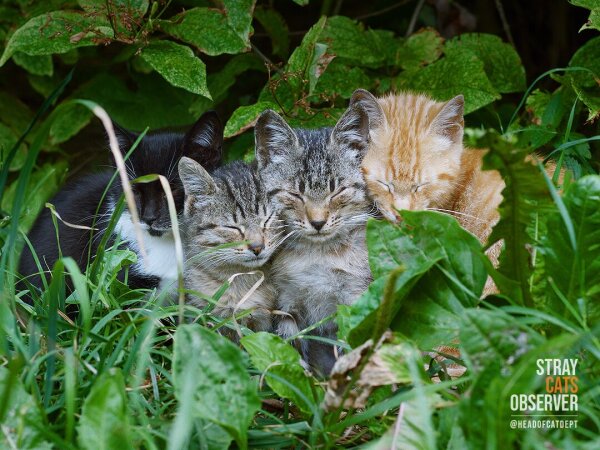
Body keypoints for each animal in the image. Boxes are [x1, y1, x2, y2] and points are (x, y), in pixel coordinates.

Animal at [253, 106, 376, 376]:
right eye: (294, 194)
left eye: (338, 191)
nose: (318, 222)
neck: (318, 255)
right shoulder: (285, 303)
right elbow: (290, 349)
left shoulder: (354, 298)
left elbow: (349, 348)